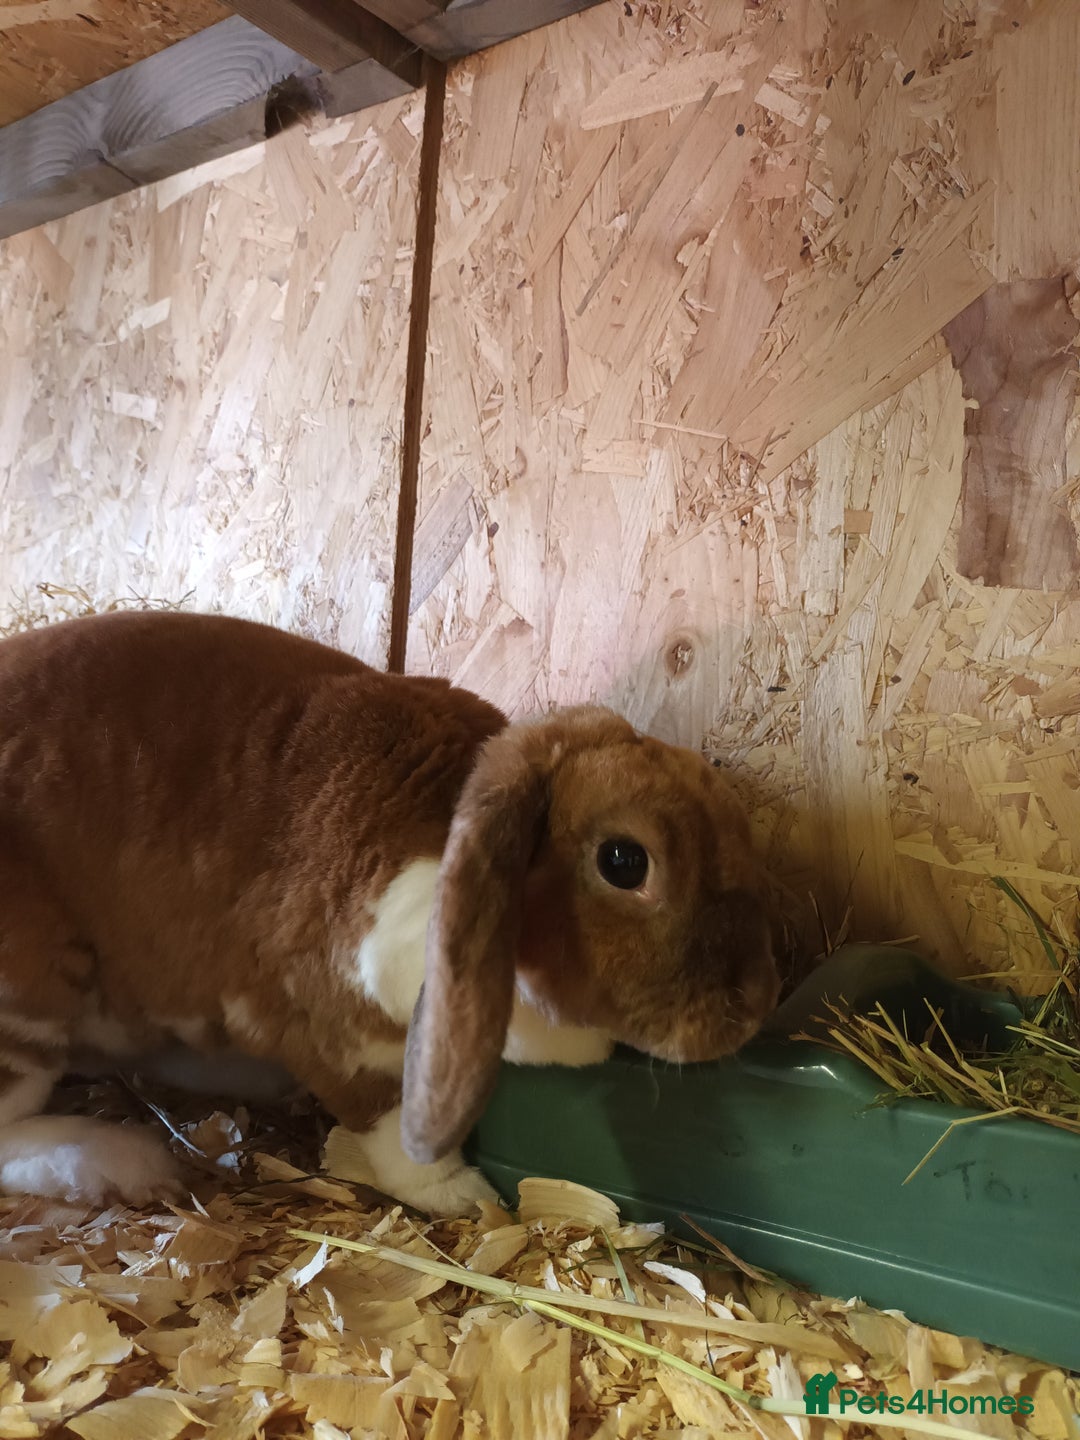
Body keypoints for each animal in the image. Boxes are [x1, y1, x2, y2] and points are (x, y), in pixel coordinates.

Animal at [0, 610, 779, 1215]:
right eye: (624, 861)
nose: (752, 1007)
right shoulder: (338, 1029)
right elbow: (389, 1120)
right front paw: (461, 1196)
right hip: (30, 996)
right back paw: (119, 1160)